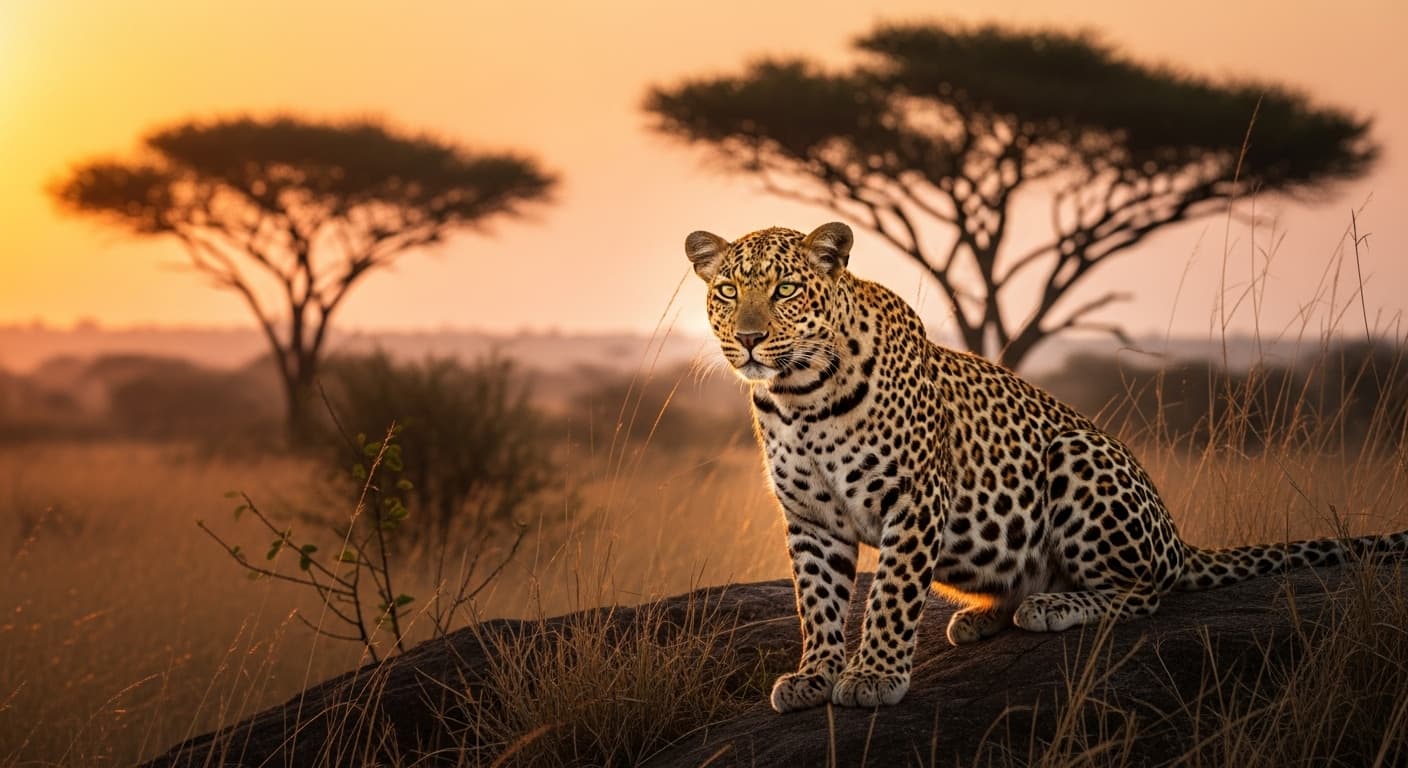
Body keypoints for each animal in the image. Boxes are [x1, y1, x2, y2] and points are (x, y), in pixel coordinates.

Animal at [684, 221, 1408, 713]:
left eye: (785, 290)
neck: (798, 397)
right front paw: (816, 673)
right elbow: (818, 601)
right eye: (727, 291)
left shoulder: (913, 500)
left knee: (1146, 591)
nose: (748, 338)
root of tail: (1179, 538)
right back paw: (984, 616)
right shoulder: (810, 521)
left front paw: (874, 676)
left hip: (1077, 460)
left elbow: (890, 592)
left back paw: (1051, 605)